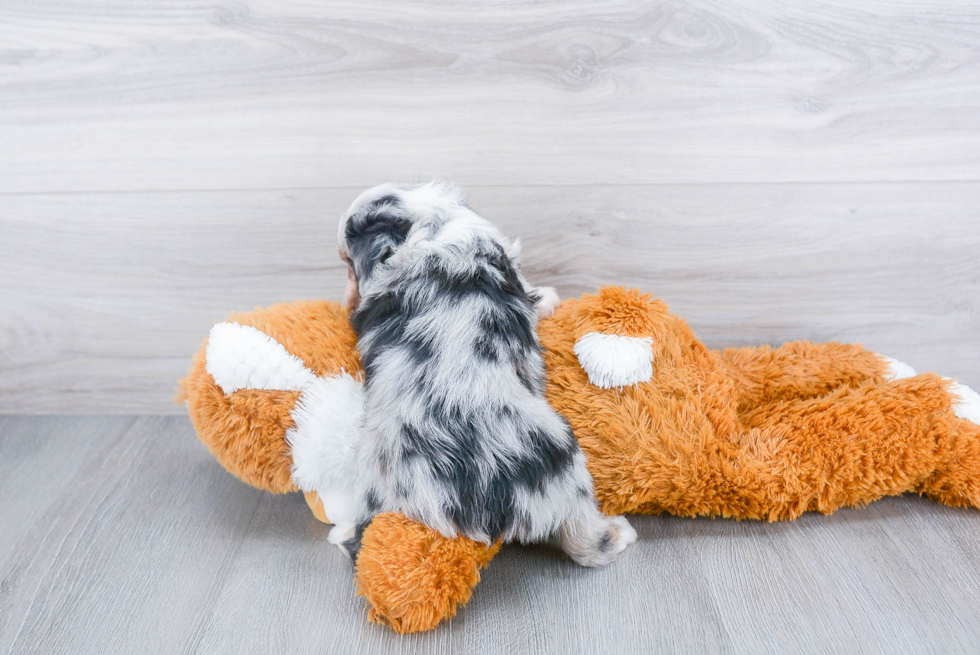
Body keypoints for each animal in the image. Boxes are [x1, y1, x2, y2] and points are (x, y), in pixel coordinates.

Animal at [330, 182, 636, 568]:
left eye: (349, 266)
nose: (345, 302)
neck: (429, 226)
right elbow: (536, 296)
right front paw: (551, 297)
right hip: (562, 459)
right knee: (584, 542)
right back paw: (618, 533)